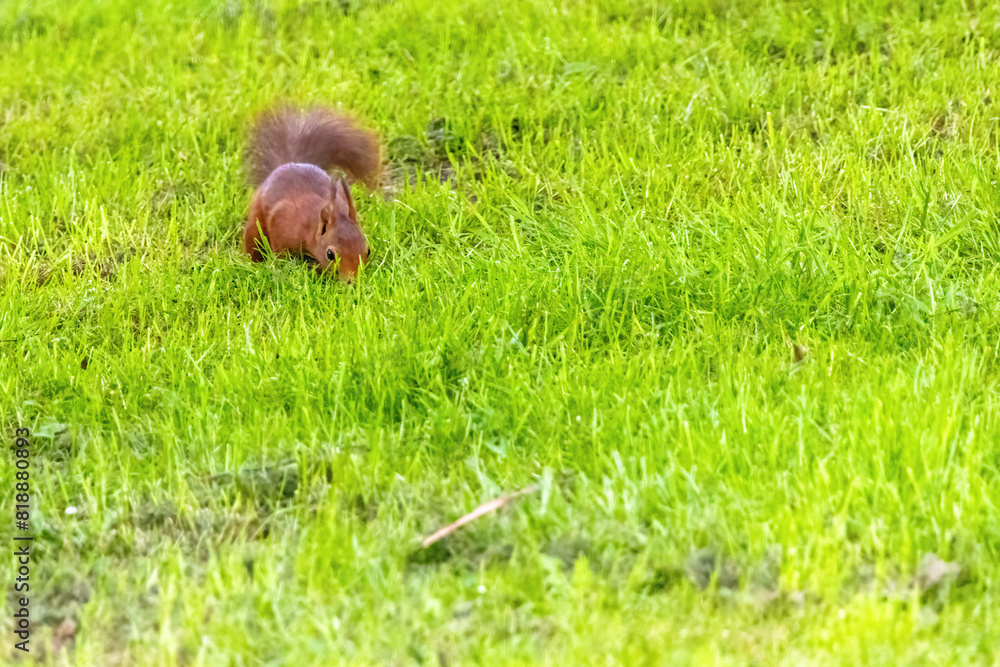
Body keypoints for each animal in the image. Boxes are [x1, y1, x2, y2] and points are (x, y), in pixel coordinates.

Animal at [243, 107, 382, 280]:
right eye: (330, 254)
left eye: (368, 251)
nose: (352, 280)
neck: (310, 226)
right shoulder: (281, 223)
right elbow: (280, 252)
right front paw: (282, 266)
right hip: (256, 219)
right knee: (252, 240)